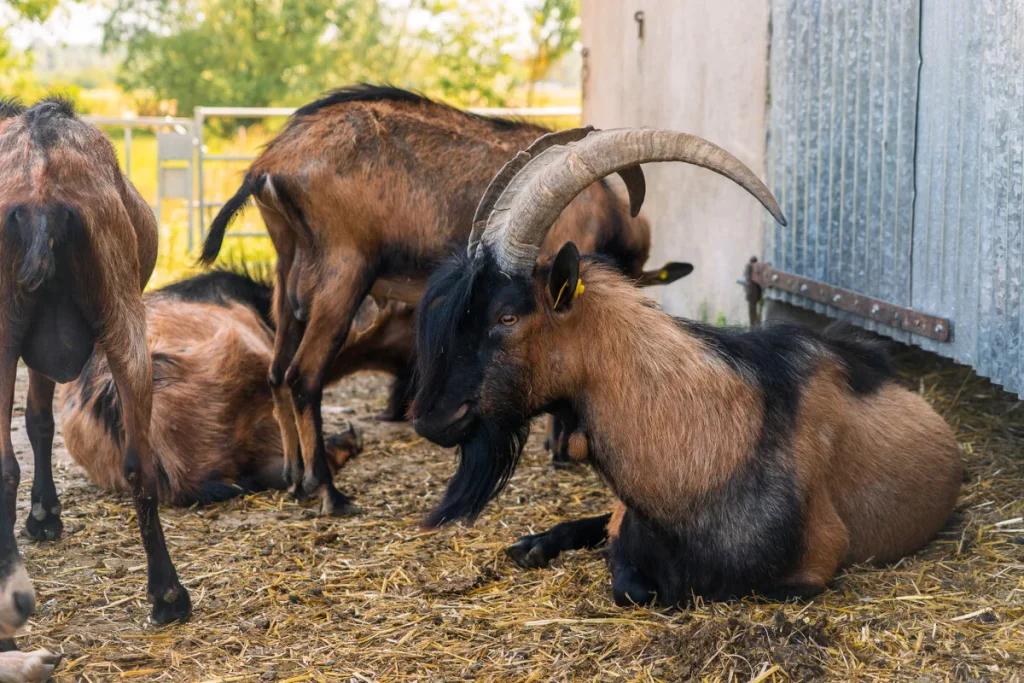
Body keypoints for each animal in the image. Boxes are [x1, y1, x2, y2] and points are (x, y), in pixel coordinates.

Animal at [0, 96, 191, 626]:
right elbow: (40, 419)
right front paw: (44, 514)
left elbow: (38, 419)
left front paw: (44, 514)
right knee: (139, 464)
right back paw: (168, 594)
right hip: (123, 315)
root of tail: (40, 191)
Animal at [201, 82, 688, 516]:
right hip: (343, 270)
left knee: (276, 373)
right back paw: (328, 493)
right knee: (303, 376)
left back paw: (294, 481)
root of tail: (269, 166)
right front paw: (562, 449)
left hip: (288, 271)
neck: (601, 210)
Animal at [411, 127, 962, 610]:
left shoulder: (809, 568)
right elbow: (627, 575)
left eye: (506, 316)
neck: (707, 443)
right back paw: (532, 545)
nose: (429, 417)